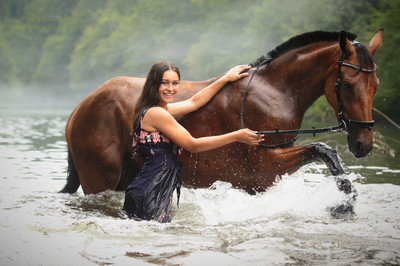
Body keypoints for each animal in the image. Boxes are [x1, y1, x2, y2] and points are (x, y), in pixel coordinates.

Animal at [61, 29, 382, 204]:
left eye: (376, 85)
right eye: (348, 84)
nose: (363, 143)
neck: (275, 91)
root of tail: (80, 107)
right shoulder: (266, 167)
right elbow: (325, 150)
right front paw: (344, 205)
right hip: (99, 179)